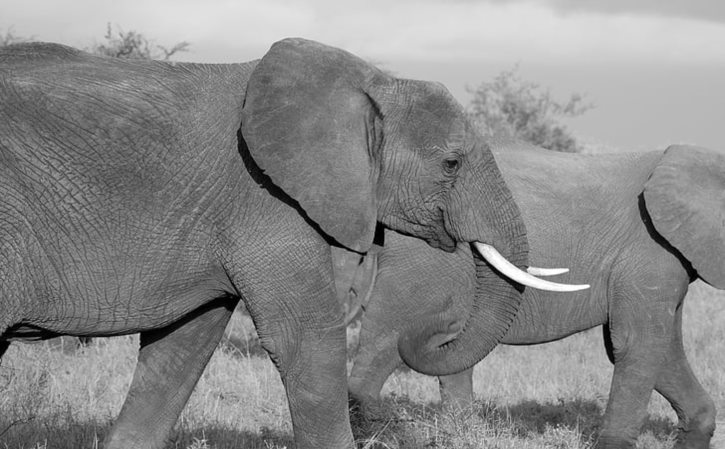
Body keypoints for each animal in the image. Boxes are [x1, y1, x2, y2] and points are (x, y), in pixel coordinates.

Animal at [0, 39, 584, 448]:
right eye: (451, 163)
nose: (437, 330)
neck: (373, 82)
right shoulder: (264, 199)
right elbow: (305, 339)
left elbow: (182, 345)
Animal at [348, 142, 720, 448]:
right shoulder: (648, 253)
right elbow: (636, 343)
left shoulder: (667, 257)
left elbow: (659, 348)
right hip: (421, 264)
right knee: (385, 341)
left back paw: (461, 434)